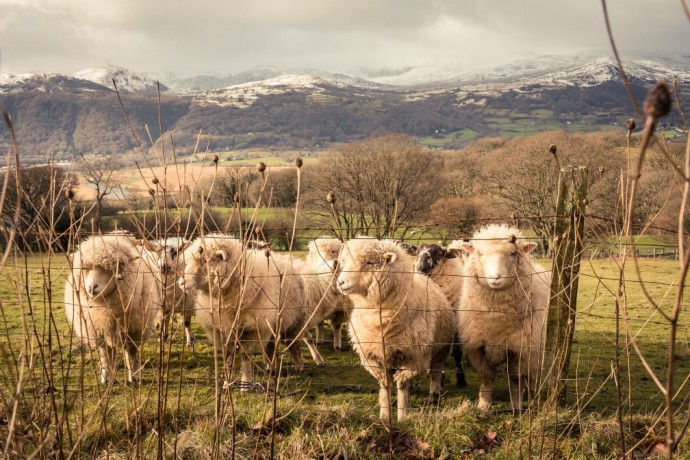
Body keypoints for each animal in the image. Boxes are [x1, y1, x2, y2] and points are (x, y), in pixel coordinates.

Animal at [63, 234, 162, 384]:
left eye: (110, 268)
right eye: (85, 268)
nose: (91, 287)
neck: (106, 308)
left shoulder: (135, 330)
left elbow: (132, 352)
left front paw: (135, 376)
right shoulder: (98, 330)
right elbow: (105, 354)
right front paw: (106, 376)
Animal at [180, 234, 326, 388]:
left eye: (205, 261)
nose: (181, 282)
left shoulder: (252, 329)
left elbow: (245, 356)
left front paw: (246, 382)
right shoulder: (223, 330)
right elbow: (229, 357)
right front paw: (227, 383)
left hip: (291, 321)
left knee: (295, 342)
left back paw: (300, 365)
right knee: (271, 346)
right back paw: (271, 367)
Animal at [338, 237, 454, 420]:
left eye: (369, 262)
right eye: (344, 261)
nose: (340, 282)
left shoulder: (412, 356)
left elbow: (401, 385)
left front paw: (402, 415)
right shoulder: (374, 357)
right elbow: (385, 386)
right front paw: (385, 415)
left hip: (441, 349)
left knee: (435, 374)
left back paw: (434, 399)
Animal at [456, 225, 548, 412]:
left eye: (513, 253)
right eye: (480, 253)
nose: (495, 278)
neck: (496, 318)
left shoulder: (520, 348)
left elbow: (515, 378)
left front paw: (516, 405)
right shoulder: (477, 347)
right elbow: (488, 376)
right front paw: (484, 404)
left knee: (531, 372)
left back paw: (531, 389)